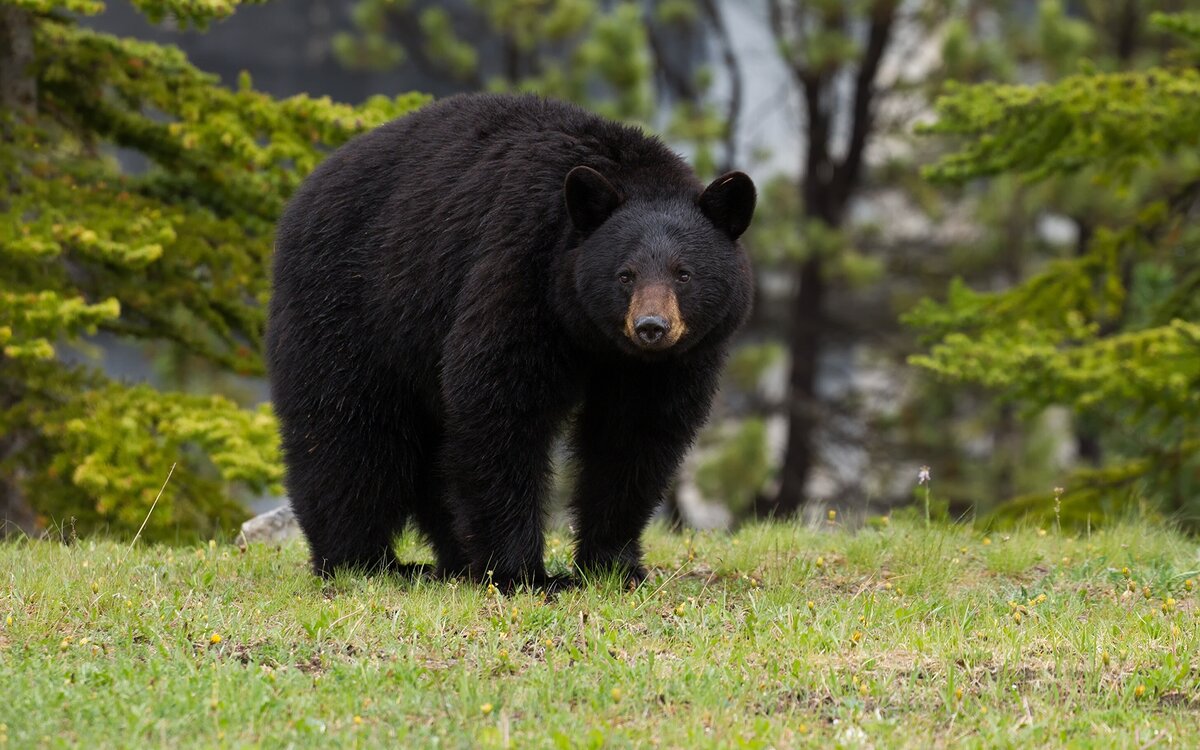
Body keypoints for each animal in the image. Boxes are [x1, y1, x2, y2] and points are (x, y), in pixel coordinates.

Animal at [267, 93, 753, 588]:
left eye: (683, 273)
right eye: (626, 274)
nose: (651, 326)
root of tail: (304, 190)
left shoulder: (666, 364)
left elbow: (635, 435)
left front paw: (613, 565)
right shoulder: (520, 267)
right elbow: (501, 403)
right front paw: (525, 574)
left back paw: (451, 559)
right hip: (351, 302)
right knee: (346, 431)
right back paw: (361, 562)